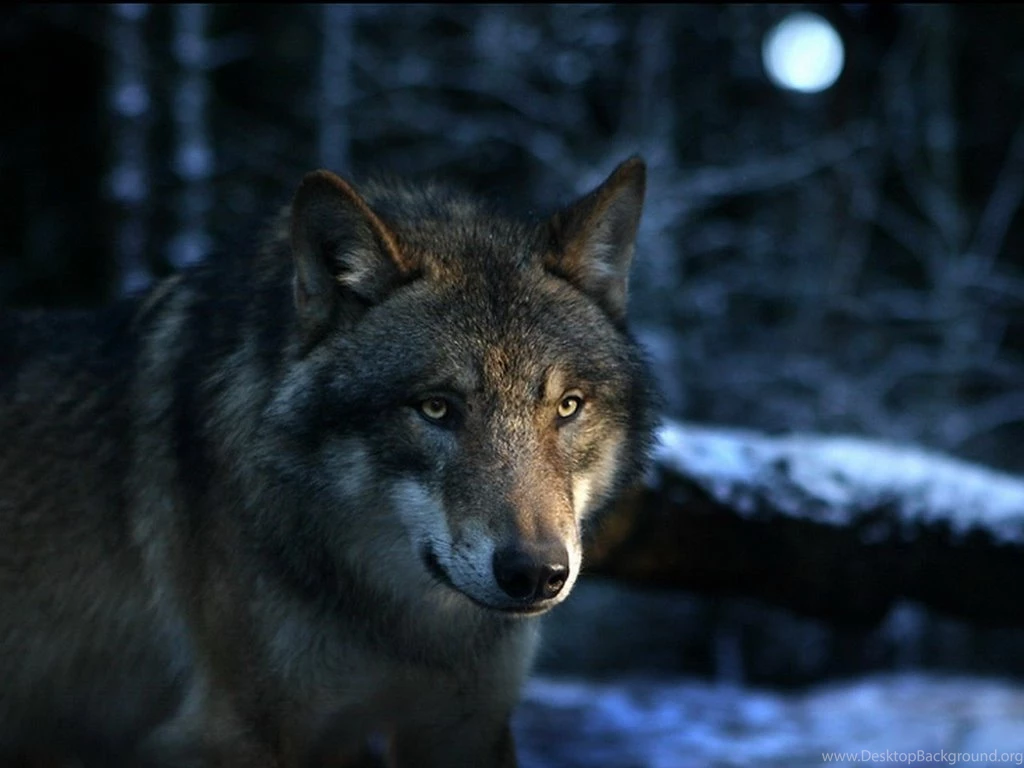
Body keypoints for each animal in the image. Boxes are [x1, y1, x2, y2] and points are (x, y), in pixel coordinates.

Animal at [0, 156, 657, 767]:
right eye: (436, 408)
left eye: (568, 406)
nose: (537, 573)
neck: (407, 624)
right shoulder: (233, 735)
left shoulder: (465, 727)